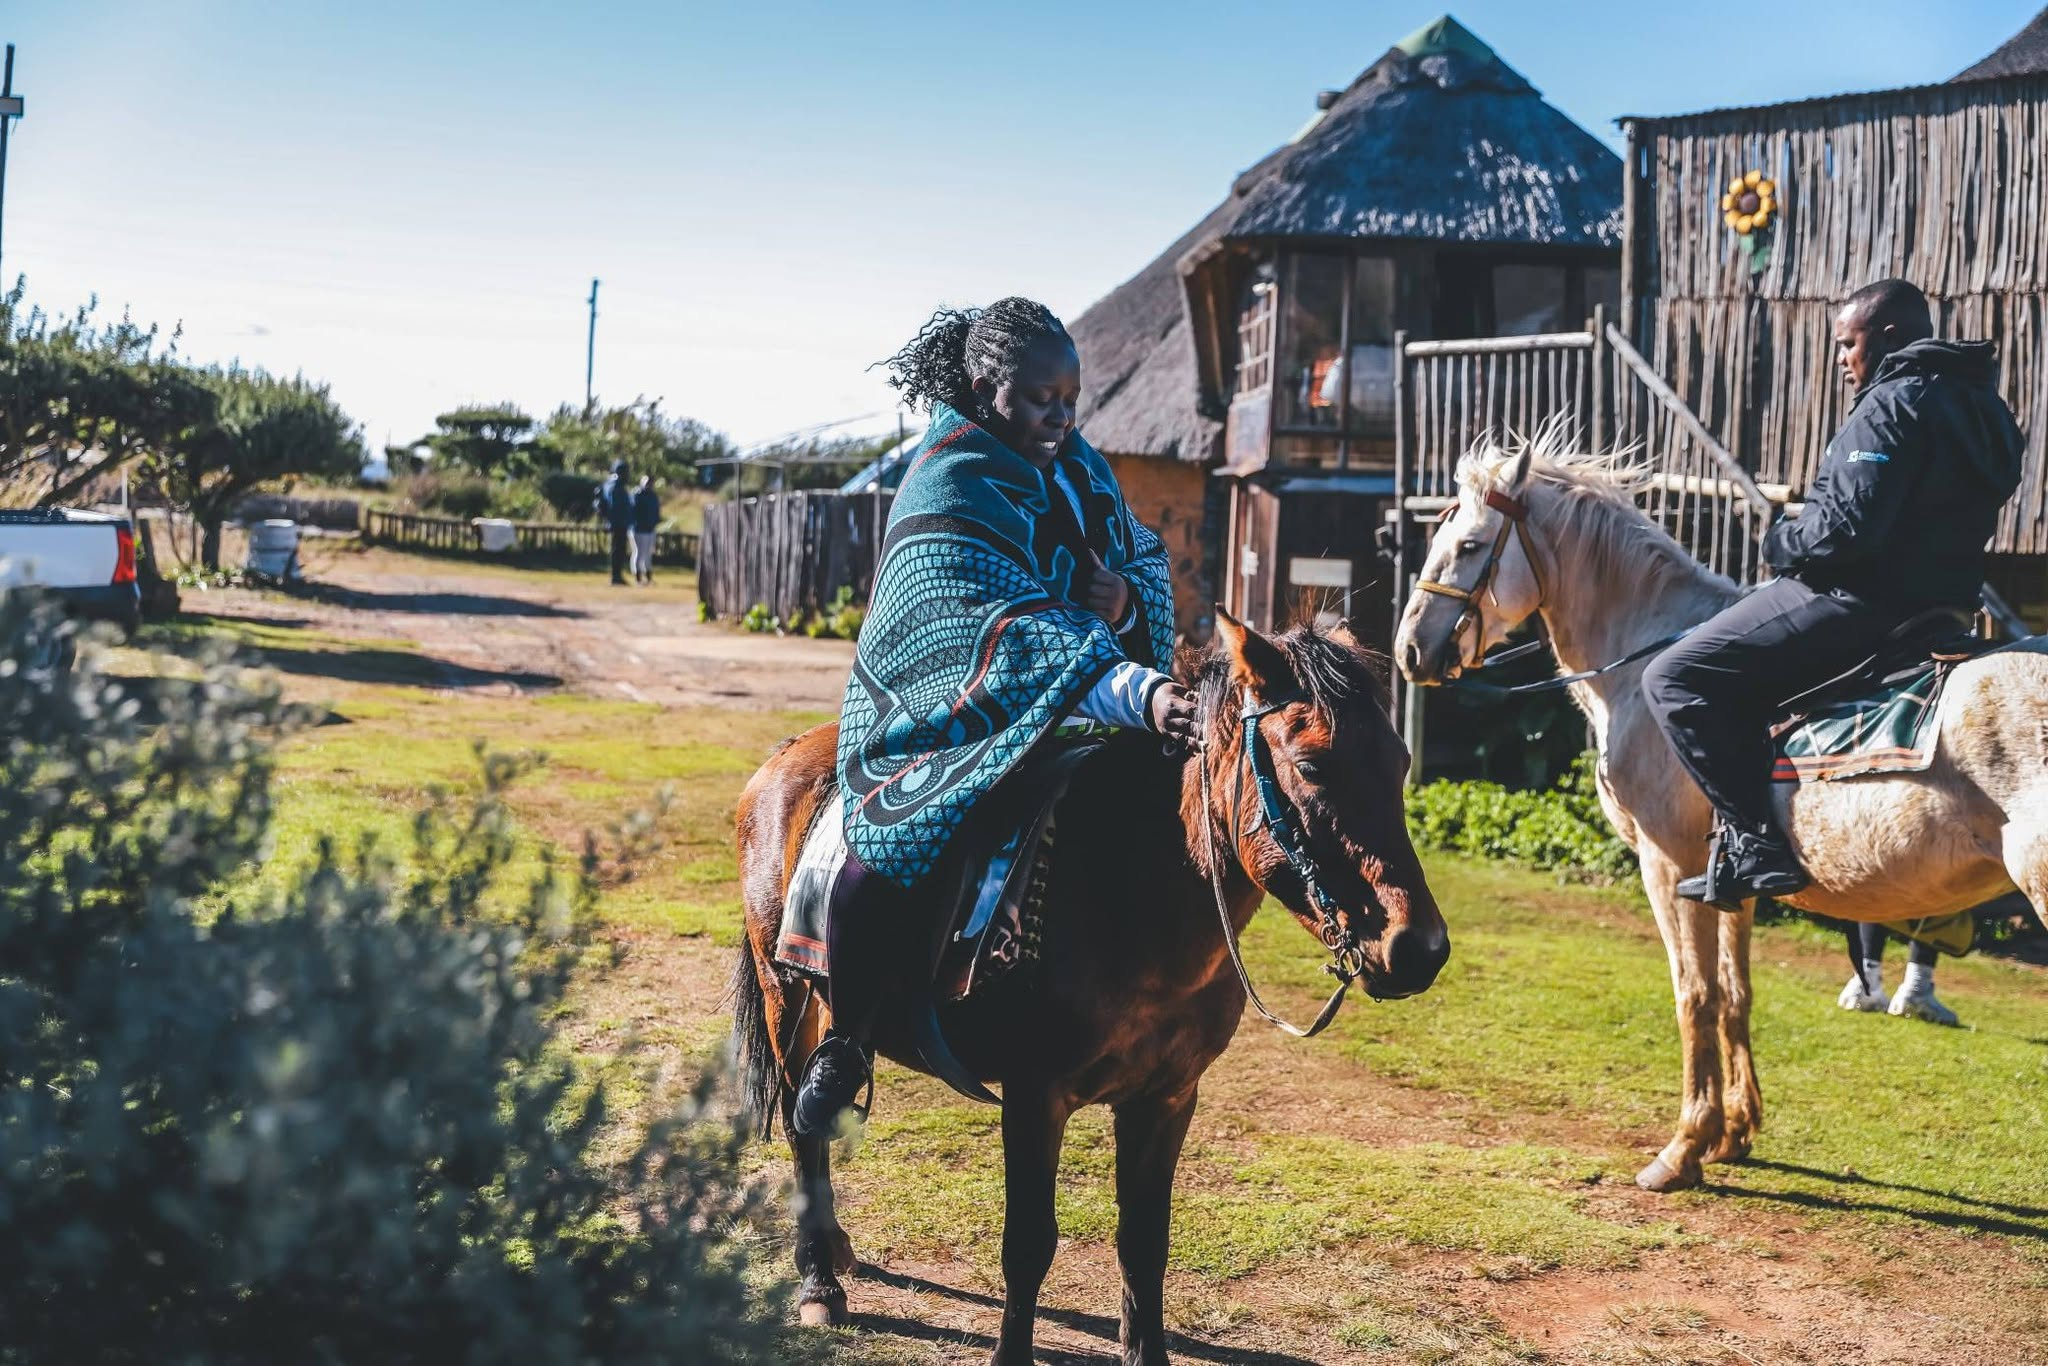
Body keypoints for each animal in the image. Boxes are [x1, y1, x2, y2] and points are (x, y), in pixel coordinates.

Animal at [729, 612, 1449, 1365]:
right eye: (1311, 767)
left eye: (1400, 764)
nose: (1418, 948)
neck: (1130, 897)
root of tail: (785, 759)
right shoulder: (1035, 1096)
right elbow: (1028, 1245)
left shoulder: (1167, 1099)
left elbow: (1144, 1242)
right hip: (787, 996)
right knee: (804, 1123)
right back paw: (819, 1281)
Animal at [1393, 433, 2048, 1194]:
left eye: (1468, 545)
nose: (1411, 649)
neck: (1640, 664)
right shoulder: (1733, 879)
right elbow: (1735, 995)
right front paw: (1734, 1133)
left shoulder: (1666, 865)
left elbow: (1694, 995)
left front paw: (1684, 1147)